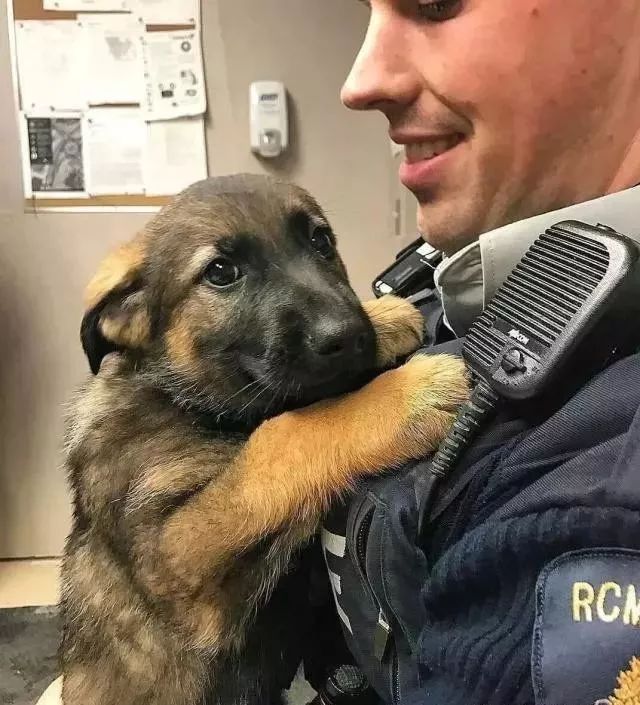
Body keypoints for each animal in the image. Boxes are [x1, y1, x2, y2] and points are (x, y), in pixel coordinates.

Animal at [62, 175, 468, 704]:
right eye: (220, 272)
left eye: (321, 241)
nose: (349, 334)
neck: (181, 399)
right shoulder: (175, 558)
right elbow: (286, 432)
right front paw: (409, 396)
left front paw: (385, 318)